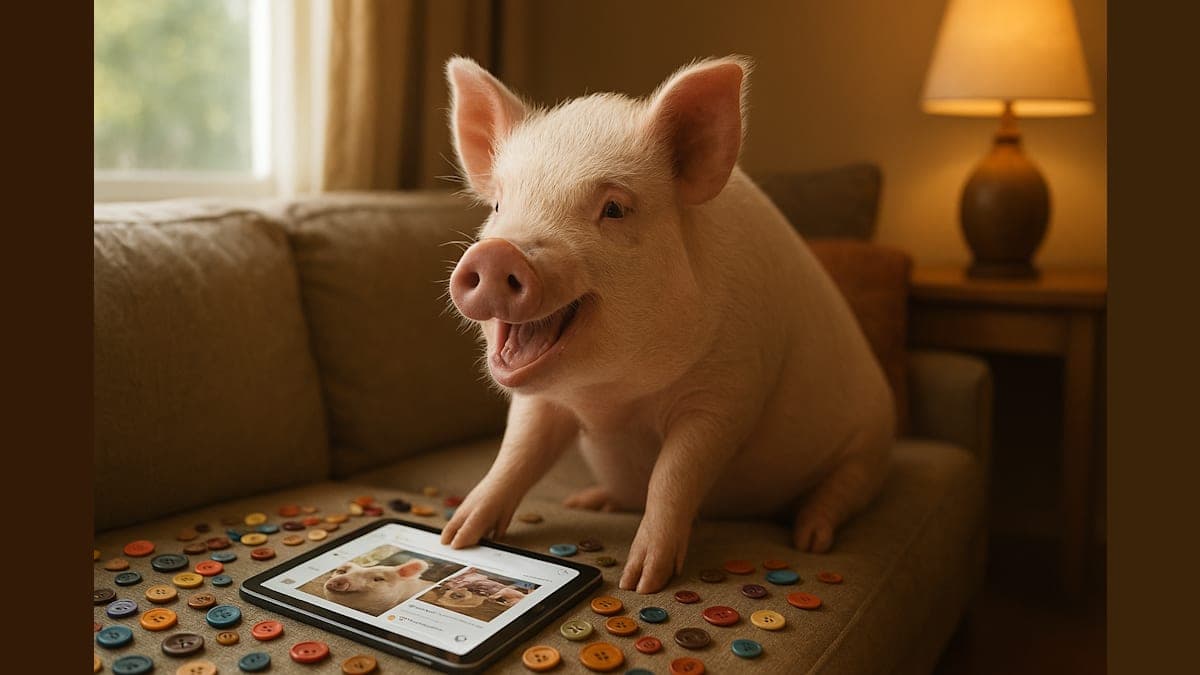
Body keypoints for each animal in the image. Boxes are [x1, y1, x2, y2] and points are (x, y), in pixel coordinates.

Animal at [439, 55, 894, 594]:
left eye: (614, 208)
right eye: (498, 205)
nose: (496, 253)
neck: (614, 399)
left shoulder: (728, 394)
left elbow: (675, 474)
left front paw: (640, 581)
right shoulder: (541, 401)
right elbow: (517, 454)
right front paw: (456, 536)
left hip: (870, 445)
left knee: (842, 489)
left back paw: (811, 538)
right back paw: (589, 501)